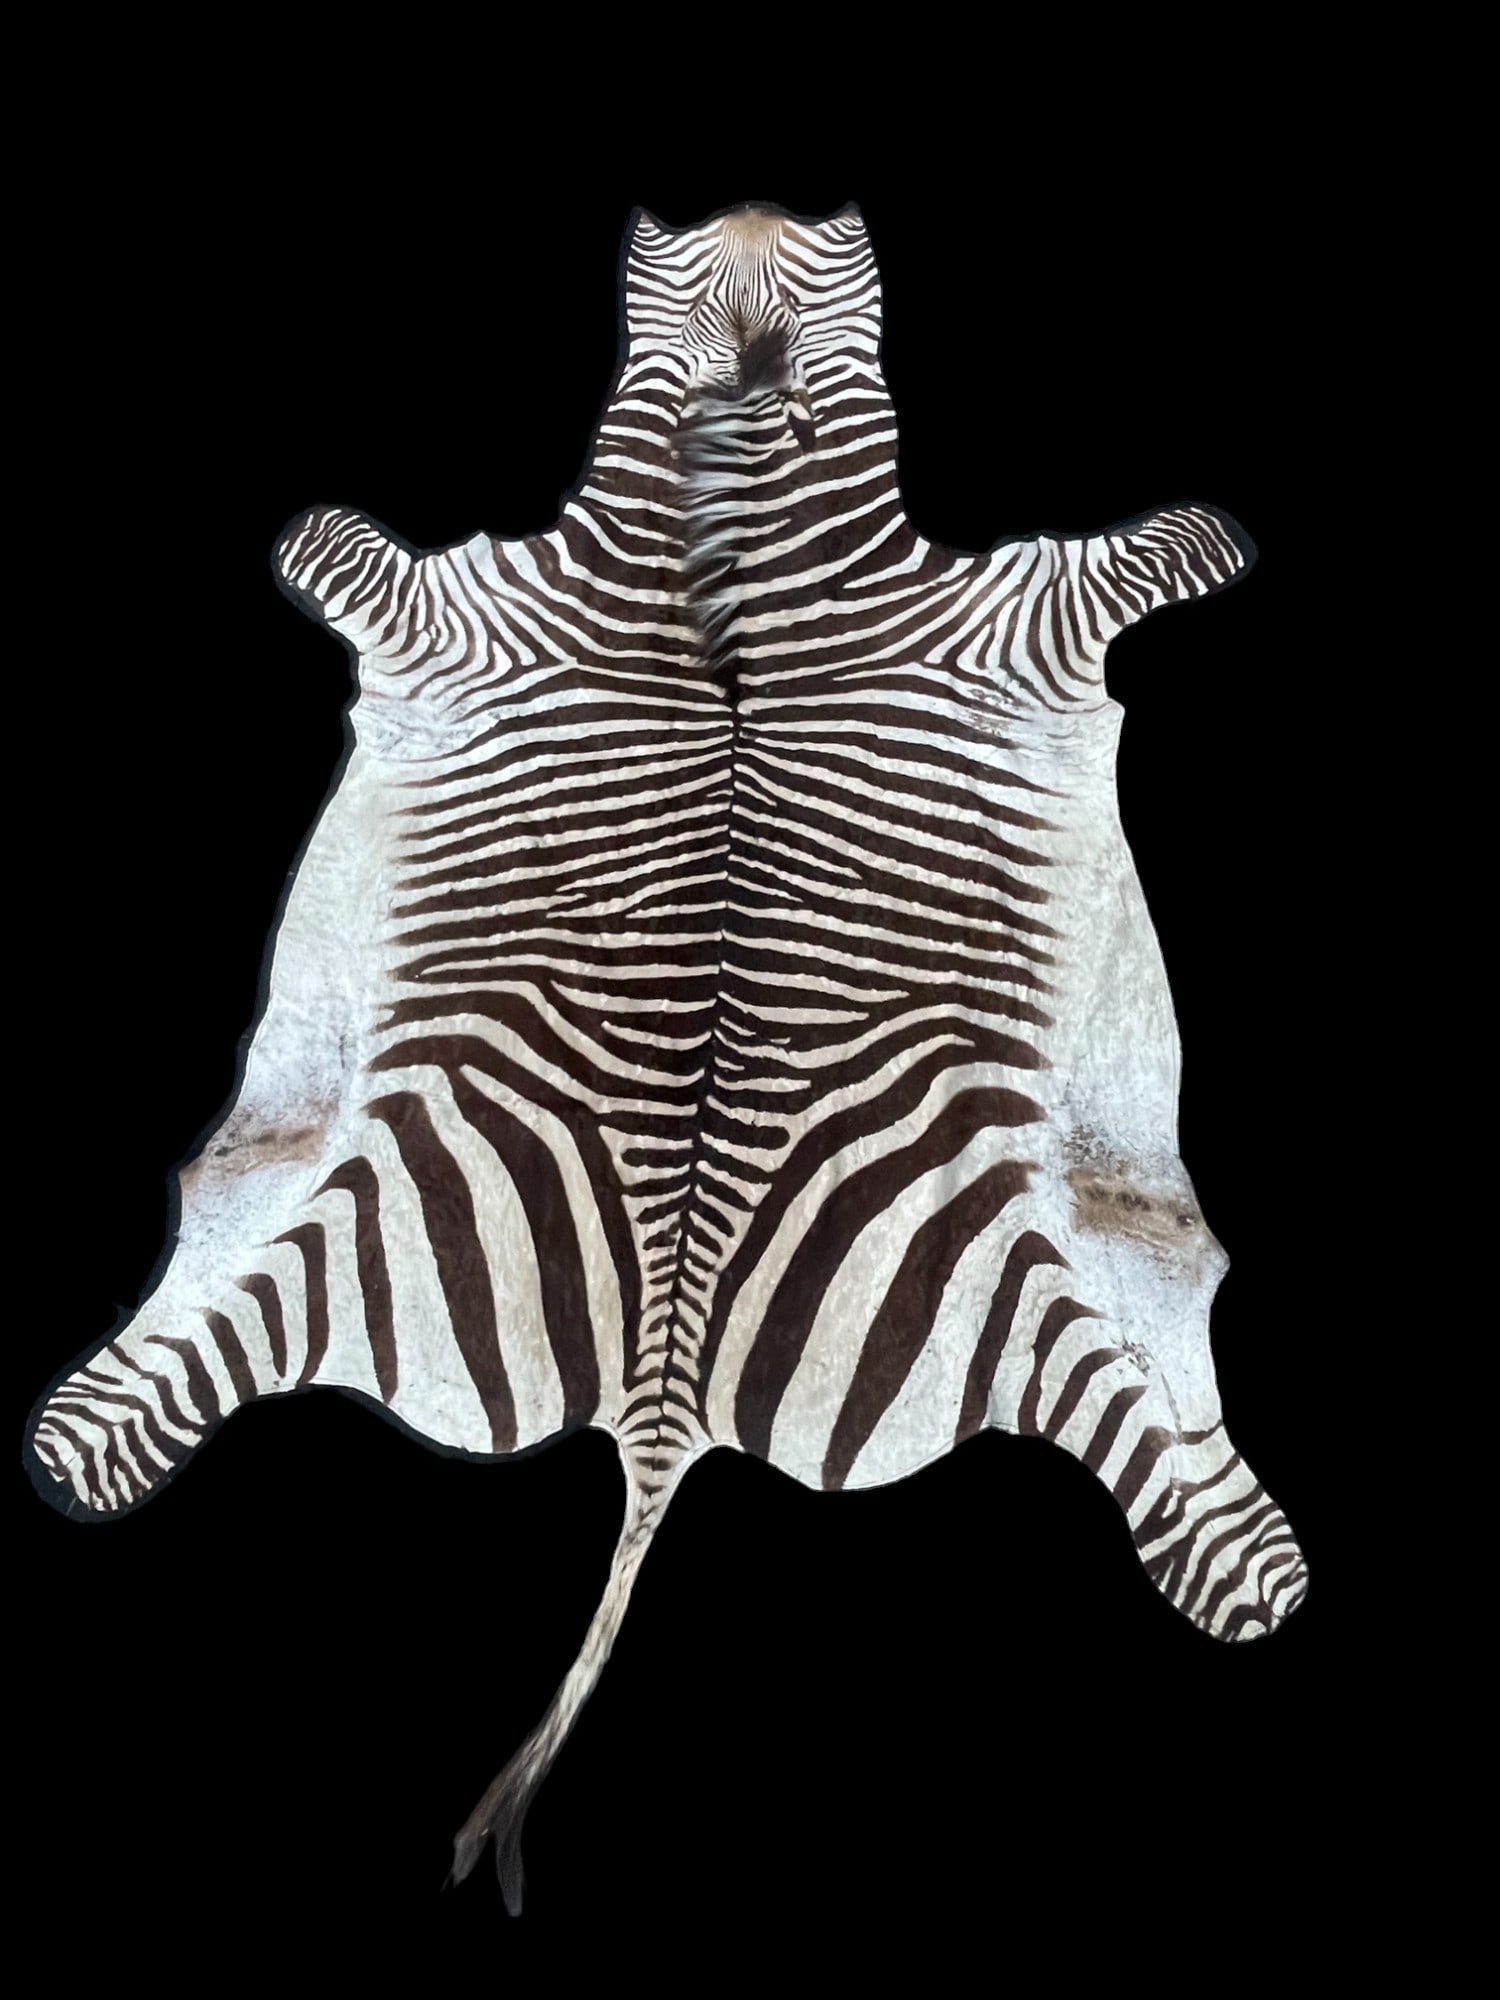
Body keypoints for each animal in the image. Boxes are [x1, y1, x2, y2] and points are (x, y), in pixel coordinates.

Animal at [25, 200, 1307, 1912]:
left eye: (822, 249)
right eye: (694, 246)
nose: (757, 207)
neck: (752, 525)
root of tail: (663, 1398)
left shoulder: (1014, 615)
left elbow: (1175, 543)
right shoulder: (473, 615)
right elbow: (323, 541)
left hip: (1081, 1275)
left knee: (1231, 1561)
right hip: (304, 1210)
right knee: (93, 1441)